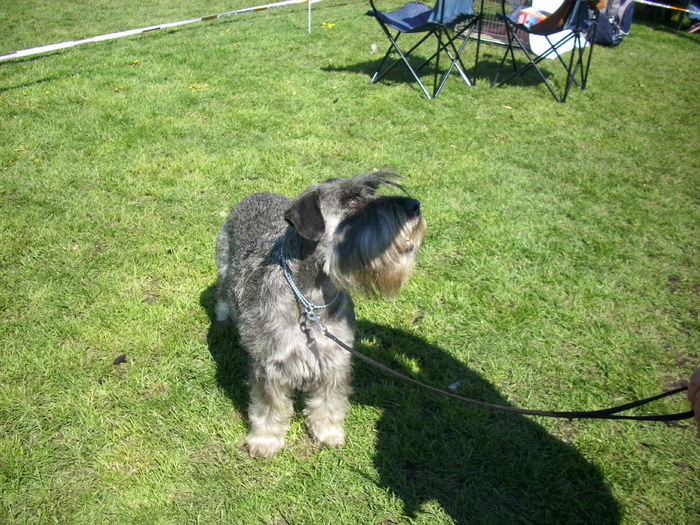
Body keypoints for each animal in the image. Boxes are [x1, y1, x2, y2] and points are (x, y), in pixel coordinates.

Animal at [215, 171, 426, 454]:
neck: (312, 300)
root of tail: (256, 194)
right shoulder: (271, 365)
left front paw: (328, 432)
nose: (414, 206)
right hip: (224, 267)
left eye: (372, 193)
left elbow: (328, 402)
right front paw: (264, 441)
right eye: (353, 201)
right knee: (223, 294)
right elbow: (268, 407)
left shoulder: (335, 360)